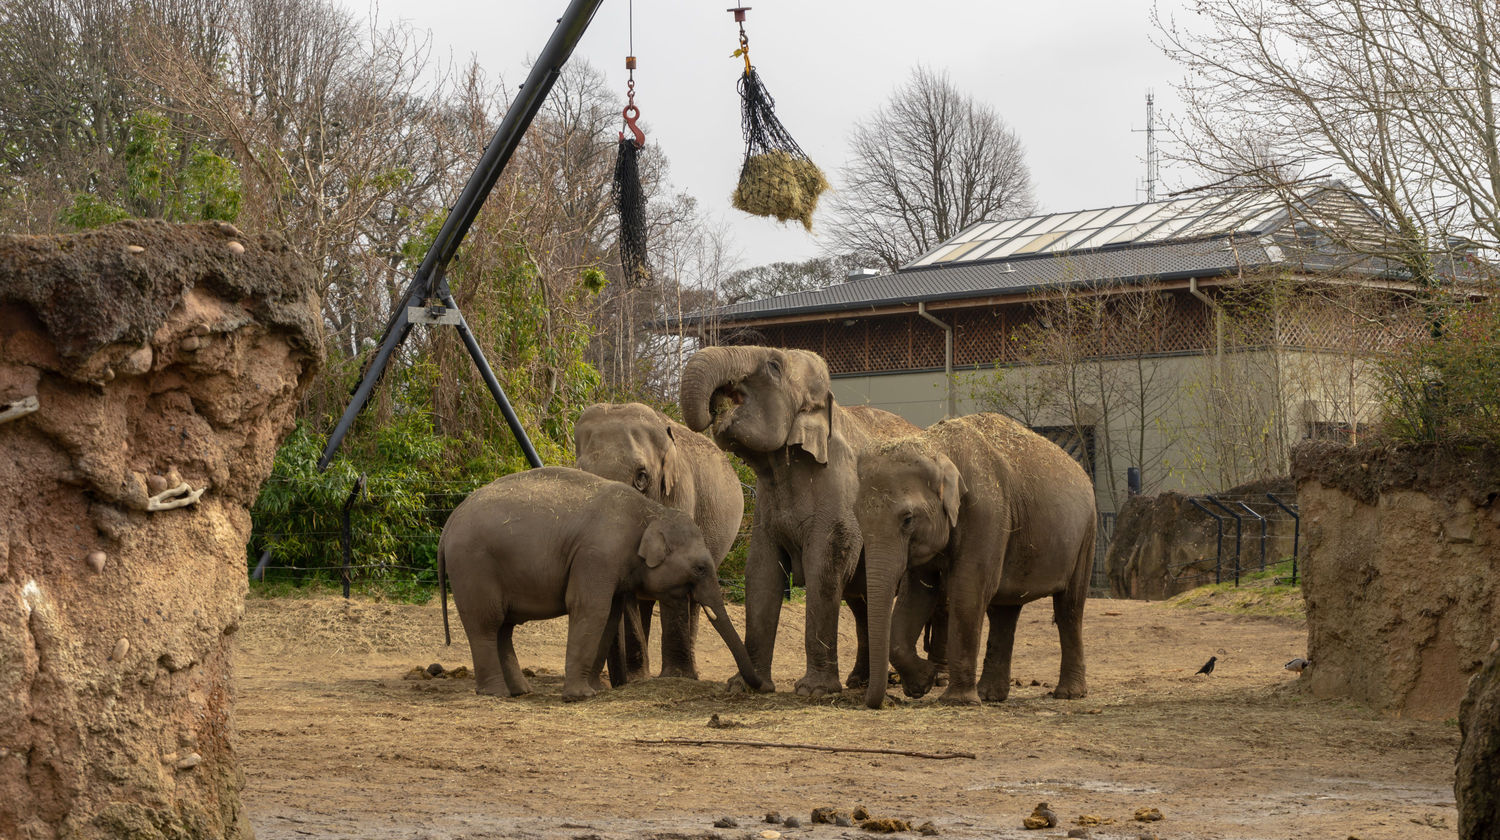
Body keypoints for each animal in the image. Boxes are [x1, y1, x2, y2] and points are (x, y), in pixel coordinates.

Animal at [435, 468, 762, 699]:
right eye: (700, 568)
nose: (760, 686)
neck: (650, 512)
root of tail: (448, 525)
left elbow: (610, 616)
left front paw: (595, 690)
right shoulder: (596, 555)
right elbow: (590, 609)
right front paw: (578, 697)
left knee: (504, 628)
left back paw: (520, 691)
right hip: (473, 567)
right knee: (487, 625)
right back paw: (496, 693)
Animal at [573, 399, 744, 684]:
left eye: (642, 477)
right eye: (581, 473)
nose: (618, 682)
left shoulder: (679, 493)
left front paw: (674, 677)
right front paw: (637, 679)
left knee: (694, 599)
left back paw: (691, 675)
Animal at [678, 345, 912, 699]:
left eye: (774, 366)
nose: (713, 409)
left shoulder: (838, 491)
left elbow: (823, 568)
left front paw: (814, 692)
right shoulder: (765, 507)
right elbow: (761, 572)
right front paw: (744, 687)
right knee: (862, 601)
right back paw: (862, 680)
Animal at [852, 414, 1098, 708]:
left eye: (908, 519)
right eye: (857, 517)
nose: (879, 699)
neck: (937, 446)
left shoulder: (986, 510)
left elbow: (968, 589)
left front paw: (956, 700)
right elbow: (917, 595)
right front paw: (922, 682)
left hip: (1086, 535)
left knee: (1069, 607)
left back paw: (1069, 694)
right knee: (1005, 611)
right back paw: (991, 695)